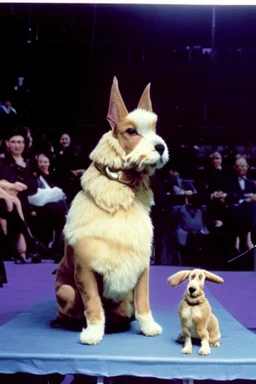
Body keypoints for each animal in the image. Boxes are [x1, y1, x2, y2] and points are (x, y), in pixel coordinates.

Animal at [52, 77, 168, 344]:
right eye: (131, 131)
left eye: (155, 128)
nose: (160, 147)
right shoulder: (85, 270)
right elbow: (93, 305)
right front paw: (94, 332)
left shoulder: (142, 264)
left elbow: (143, 301)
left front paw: (148, 326)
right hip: (66, 291)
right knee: (73, 310)